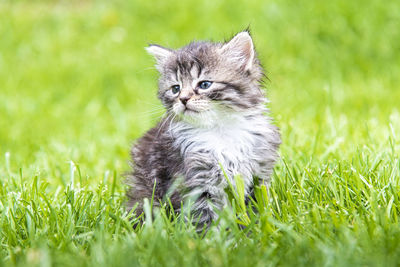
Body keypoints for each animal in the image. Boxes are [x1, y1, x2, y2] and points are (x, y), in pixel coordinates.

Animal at [126, 31, 280, 228]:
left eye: (204, 84)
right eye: (175, 89)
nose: (183, 99)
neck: (220, 129)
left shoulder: (259, 174)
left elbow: (257, 208)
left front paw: (256, 228)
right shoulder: (194, 182)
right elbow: (204, 219)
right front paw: (213, 236)